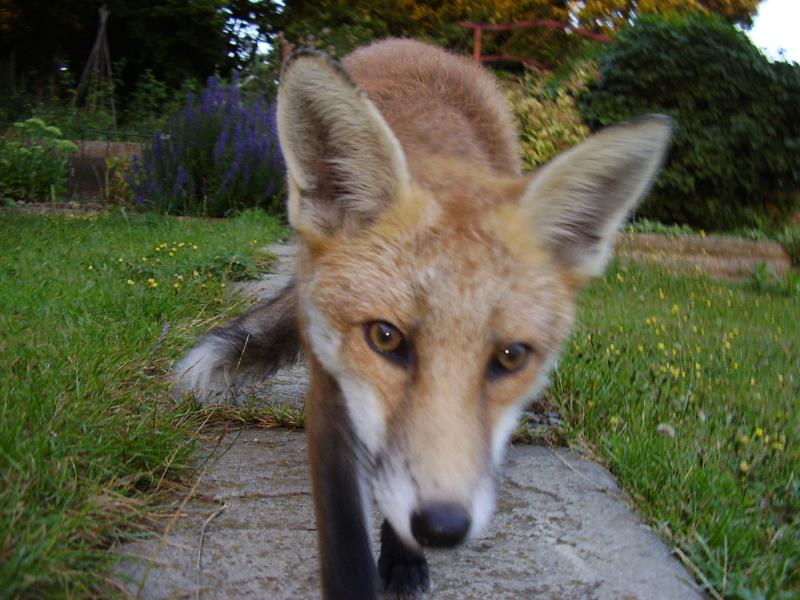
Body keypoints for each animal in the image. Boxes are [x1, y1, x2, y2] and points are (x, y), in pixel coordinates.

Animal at [173, 39, 672, 599]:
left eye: (511, 356)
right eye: (384, 338)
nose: (443, 527)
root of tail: (412, 44)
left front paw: (404, 557)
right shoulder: (332, 385)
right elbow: (344, 536)